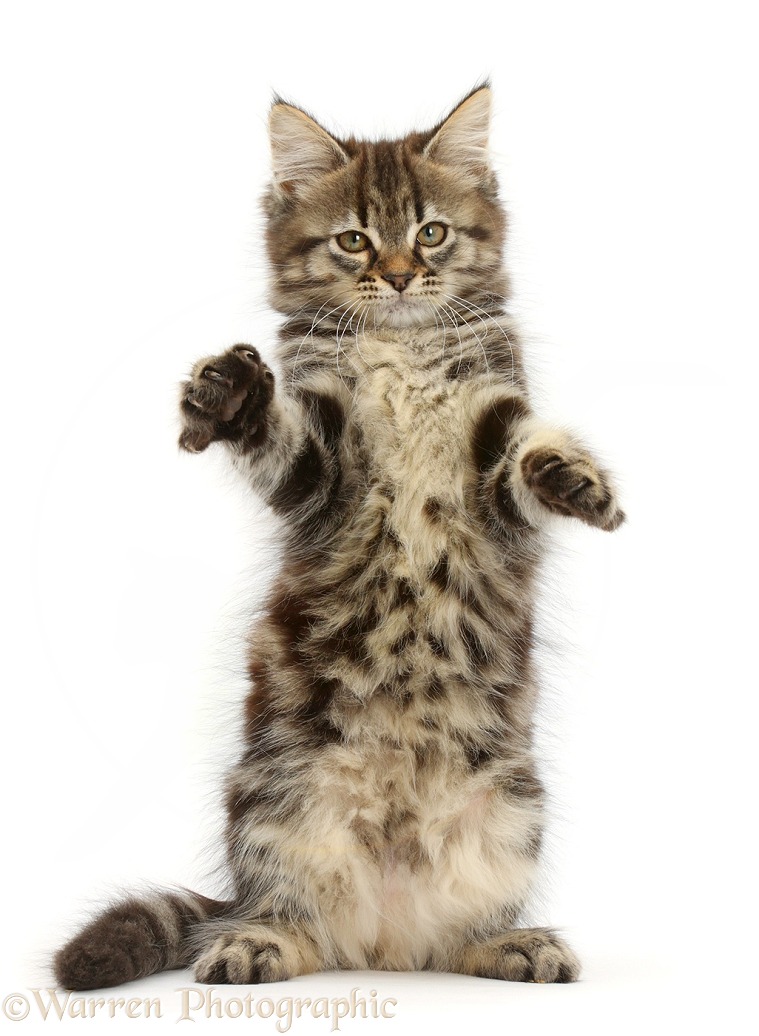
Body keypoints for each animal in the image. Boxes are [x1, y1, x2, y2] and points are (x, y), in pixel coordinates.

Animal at [53, 84, 621, 990]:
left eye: (431, 233)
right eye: (353, 239)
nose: (397, 276)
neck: (400, 346)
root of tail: (385, 942)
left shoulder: (494, 449)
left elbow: (530, 458)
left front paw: (576, 481)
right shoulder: (319, 475)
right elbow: (278, 434)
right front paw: (232, 394)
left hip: (514, 810)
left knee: (458, 934)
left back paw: (512, 945)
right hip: (272, 799)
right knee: (289, 917)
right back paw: (253, 945)